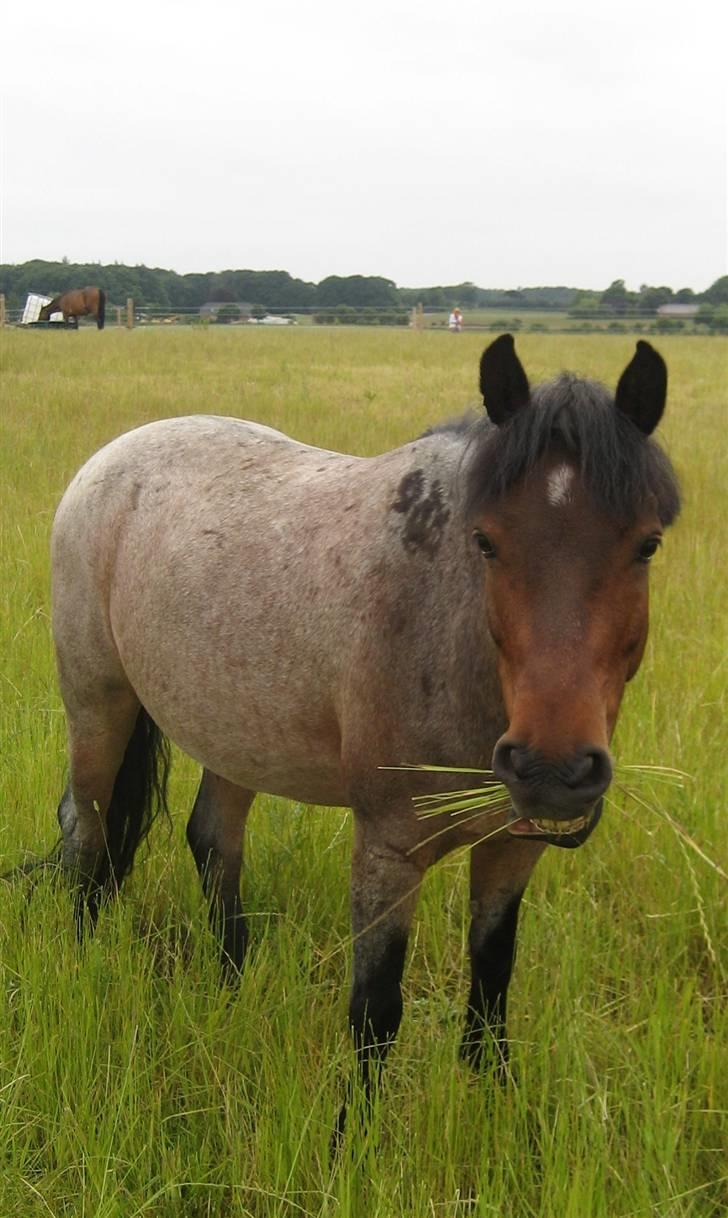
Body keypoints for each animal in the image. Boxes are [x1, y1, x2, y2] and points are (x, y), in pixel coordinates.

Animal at [52, 336, 686, 1130]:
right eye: (486, 542)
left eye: (648, 545)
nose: (553, 769)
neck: (448, 630)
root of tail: (113, 453)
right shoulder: (388, 846)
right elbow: (376, 1010)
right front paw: (352, 1140)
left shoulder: (514, 846)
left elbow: (492, 984)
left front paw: (494, 1108)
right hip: (97, 705)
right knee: (87, 834)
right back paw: (85, 963)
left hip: (235, 733)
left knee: (213, 843)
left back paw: (232, 988)